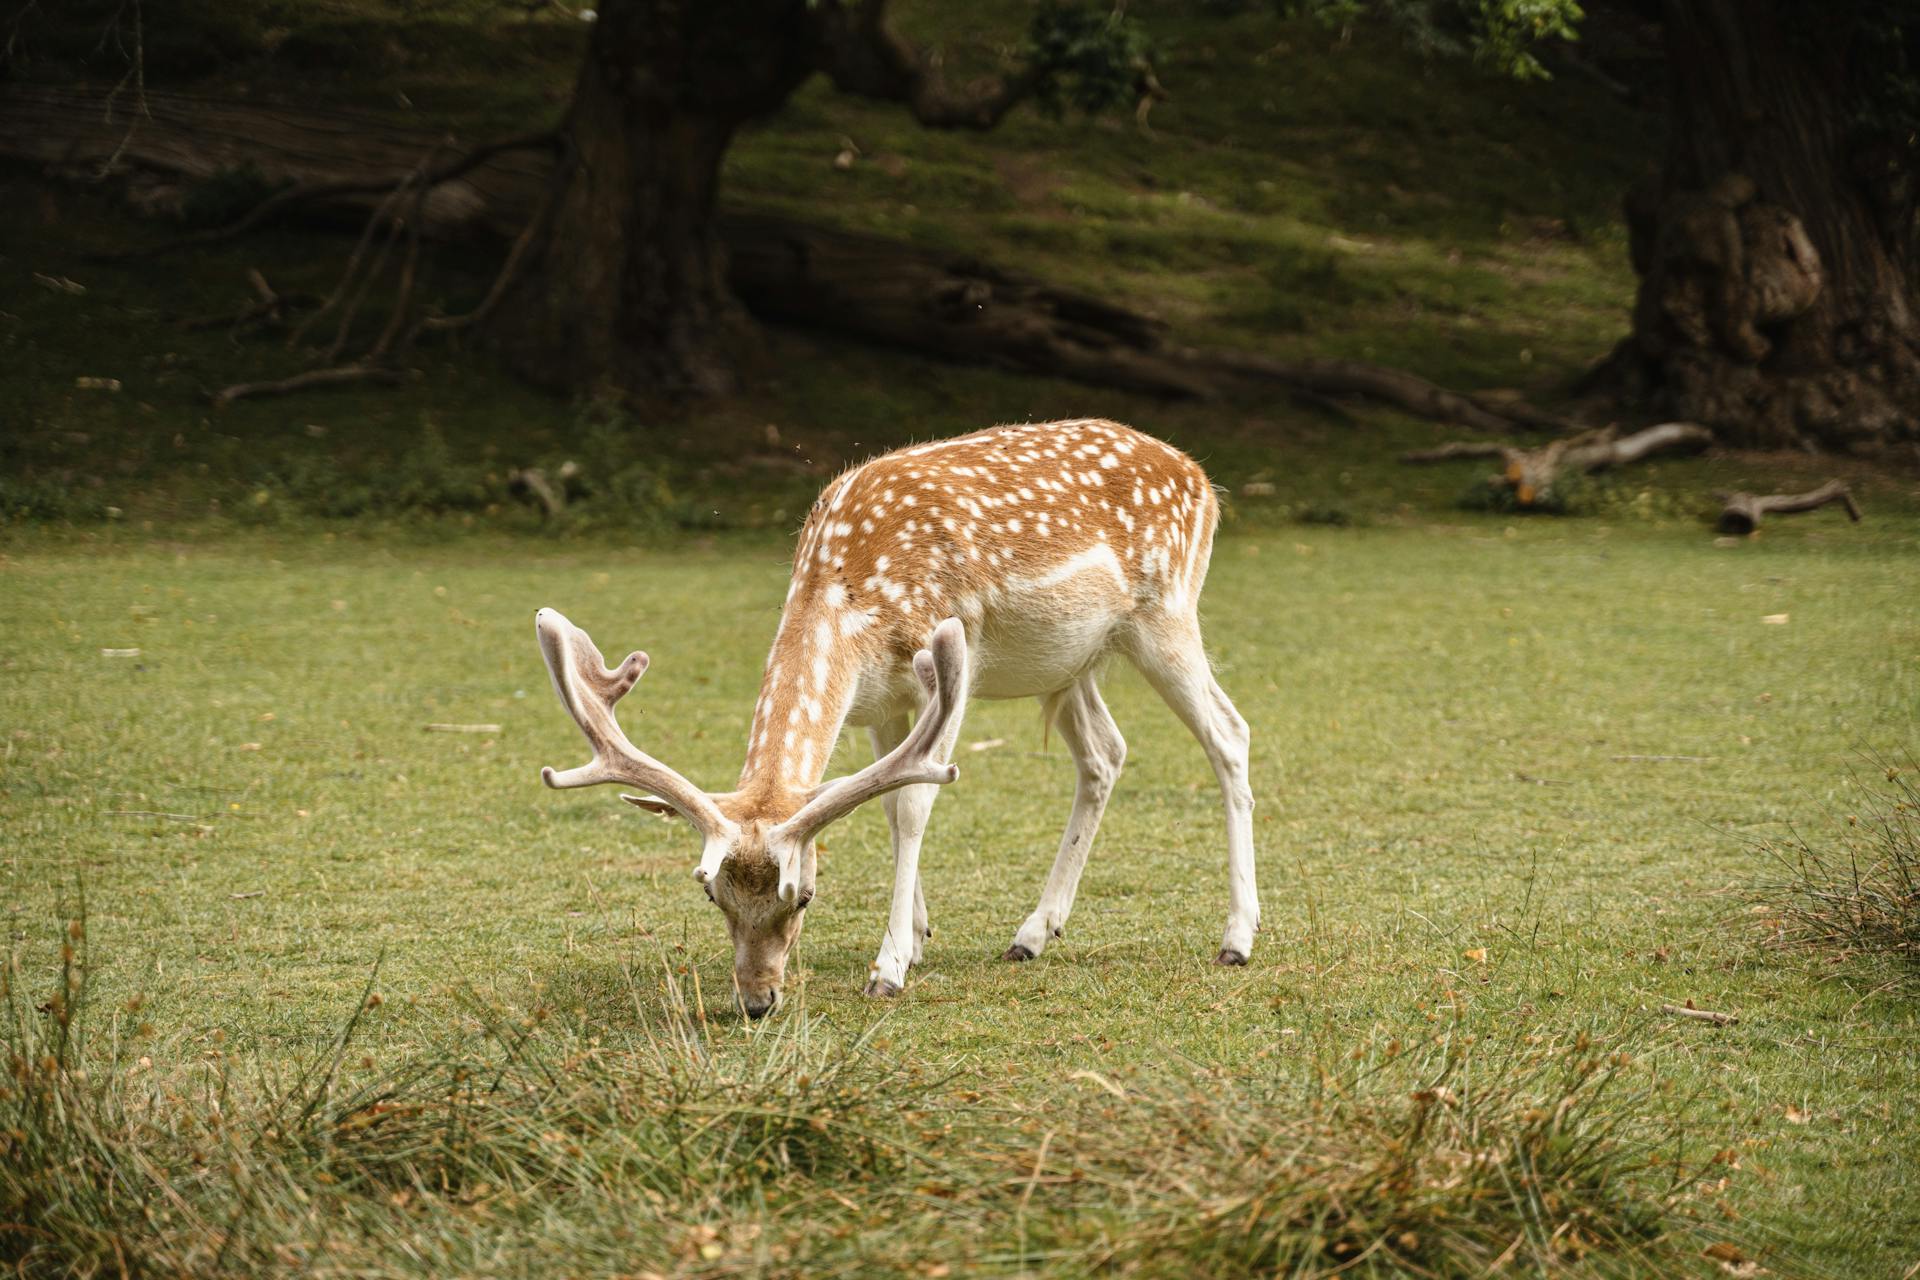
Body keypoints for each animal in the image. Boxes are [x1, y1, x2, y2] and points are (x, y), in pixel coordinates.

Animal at [537, 416, 1259, 1013]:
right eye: (711, 891)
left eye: (804, 893)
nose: (757, 999)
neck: (849, 592)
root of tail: (1200, 476)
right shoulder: (882, 703)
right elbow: (886, 805)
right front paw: (916, 934)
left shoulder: (949, 668)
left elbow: (913, 805)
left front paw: (888, 968)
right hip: (1071, 661)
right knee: (1105, 753)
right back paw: (1032, 933)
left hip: (1166, 611)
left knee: (1229, 733)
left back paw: (1238, 938)